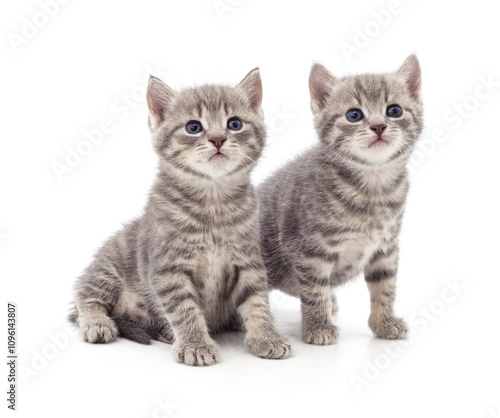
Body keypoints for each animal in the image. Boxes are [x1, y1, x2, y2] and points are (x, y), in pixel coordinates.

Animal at [68, 69, 292, 366]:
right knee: (86, 296)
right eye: (193, 127)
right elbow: (184, 309)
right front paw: (196, 344)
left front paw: (267, 336)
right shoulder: (168, 268)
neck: (213, 202)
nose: (218, 139)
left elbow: (257, 301)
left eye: (234, 124)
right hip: (109, 264)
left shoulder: (248, 260)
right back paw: (98, 322)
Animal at [260, 54, 424, 342]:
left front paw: (384, 322)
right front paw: (318, 326)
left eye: (394, 110)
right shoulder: (309, 250)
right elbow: (314, 290)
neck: (372, 188)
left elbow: (385, 286)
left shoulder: (386, 248)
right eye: (354, 115)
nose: (379, 126)